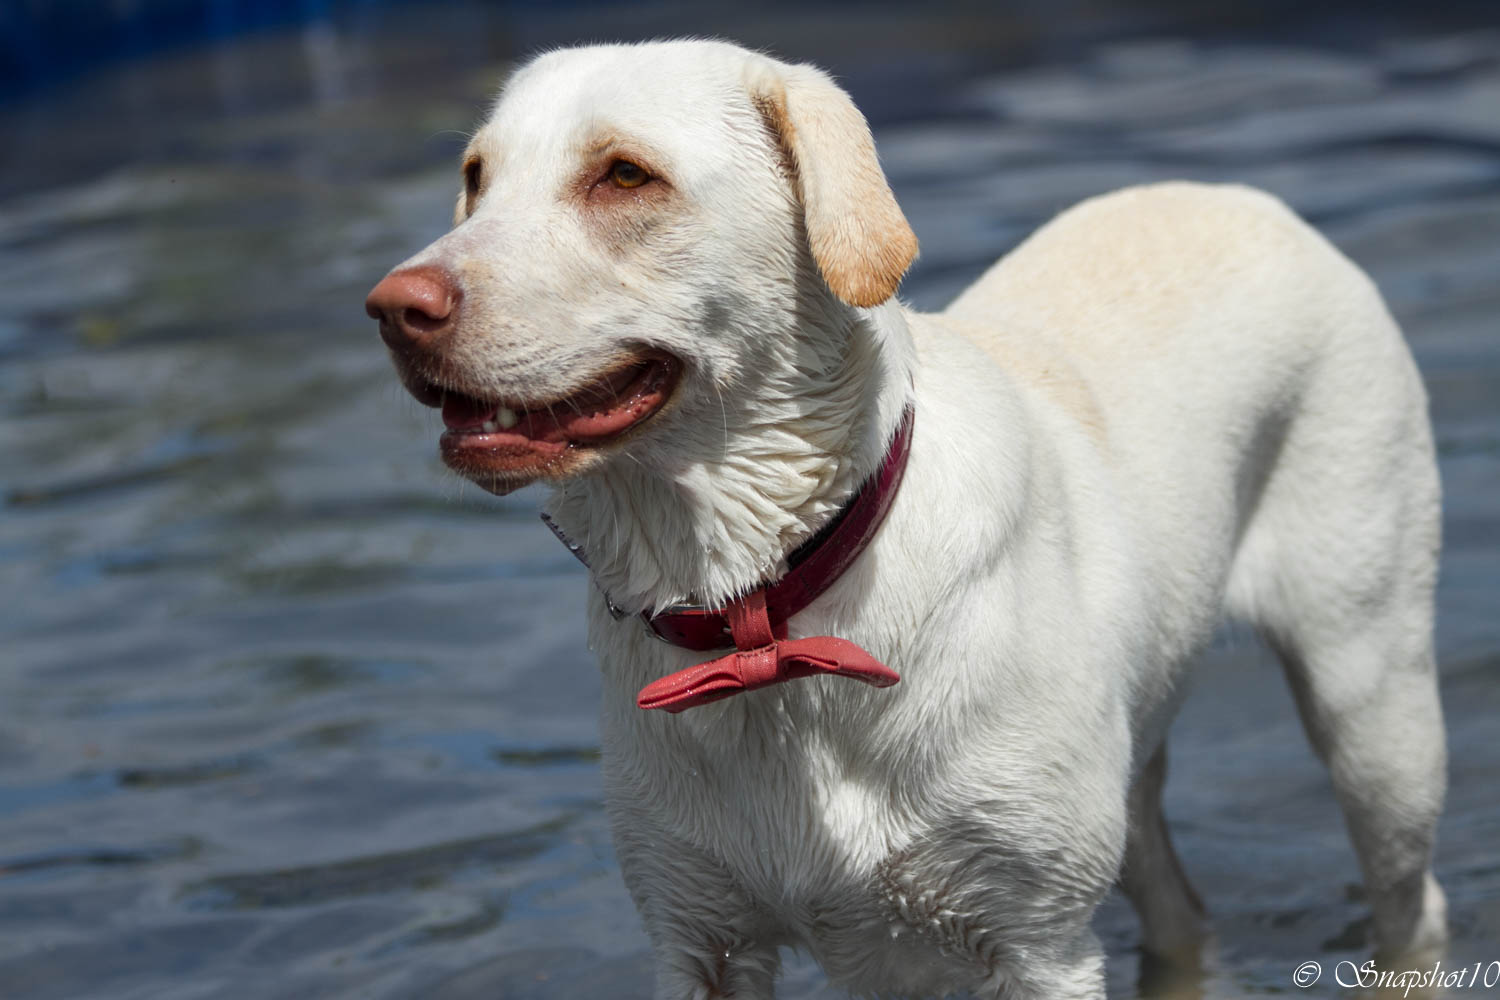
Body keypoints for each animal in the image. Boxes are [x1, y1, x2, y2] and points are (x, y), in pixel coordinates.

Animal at [366, 37, 1452, 995]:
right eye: (475, 178)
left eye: (626, 177)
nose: (391, 308)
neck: (768, 608)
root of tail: (1239, 193)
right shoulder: (702, 938)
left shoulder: (1038, 945)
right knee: (1182, 913)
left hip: (1370, 697)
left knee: (1413, 901)